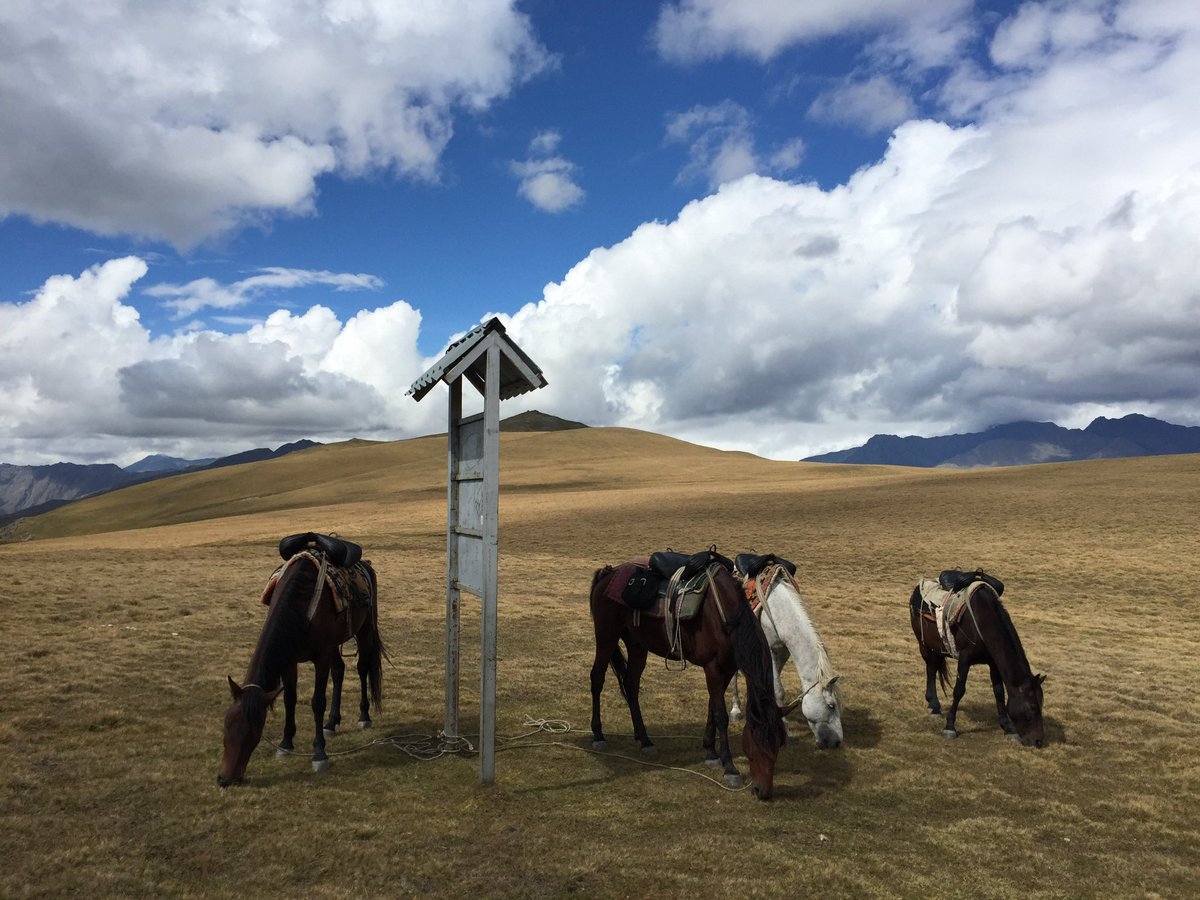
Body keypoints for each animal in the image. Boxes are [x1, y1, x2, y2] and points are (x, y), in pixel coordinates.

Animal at [217, 535, 384, 787]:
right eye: (226, 725)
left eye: (253, 732)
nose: (225, 779)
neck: (300, 603)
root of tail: (367, 565)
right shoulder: (290, 659)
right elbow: (289, 698)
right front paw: (285, 743)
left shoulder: (321, 657)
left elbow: (317, 702)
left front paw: (319, 754)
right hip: (335, 645)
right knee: (339, 670)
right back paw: (331, 723)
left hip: (364, 631)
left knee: (362, 668)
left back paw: (364, 717)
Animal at [588, 554, 787, 801]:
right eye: (757, 742)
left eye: (779, 744)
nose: (763, 792)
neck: (726, 614)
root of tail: (607, 574)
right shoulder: (712, 667)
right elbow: (721, 715)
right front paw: (729, 767)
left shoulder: (727, 667)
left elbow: (713, 707)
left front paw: (711, 752)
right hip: (606, 636)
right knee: (597, 678)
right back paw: (598, 735)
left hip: (637, 645)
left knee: (631, 685)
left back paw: (645, 740)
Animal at [724, 554, 840, 748]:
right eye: (831, 705)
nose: (837, 742)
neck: (779, 610)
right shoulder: (768, 651)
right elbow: (779, 690)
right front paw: (786, 732)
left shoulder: (783, 651)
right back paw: (735, 709)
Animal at [912, 571, 1046, 748]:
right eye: (1032, 708)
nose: (1038, 741)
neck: (983, 620)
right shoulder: (964, 658)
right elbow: (959, 690)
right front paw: (950, 726)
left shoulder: (993, 663)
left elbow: (999, 692)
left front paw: (1008, 728)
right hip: (924, 645)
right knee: (931, 670)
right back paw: (934, 706)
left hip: (937, 648)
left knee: (933, 669)